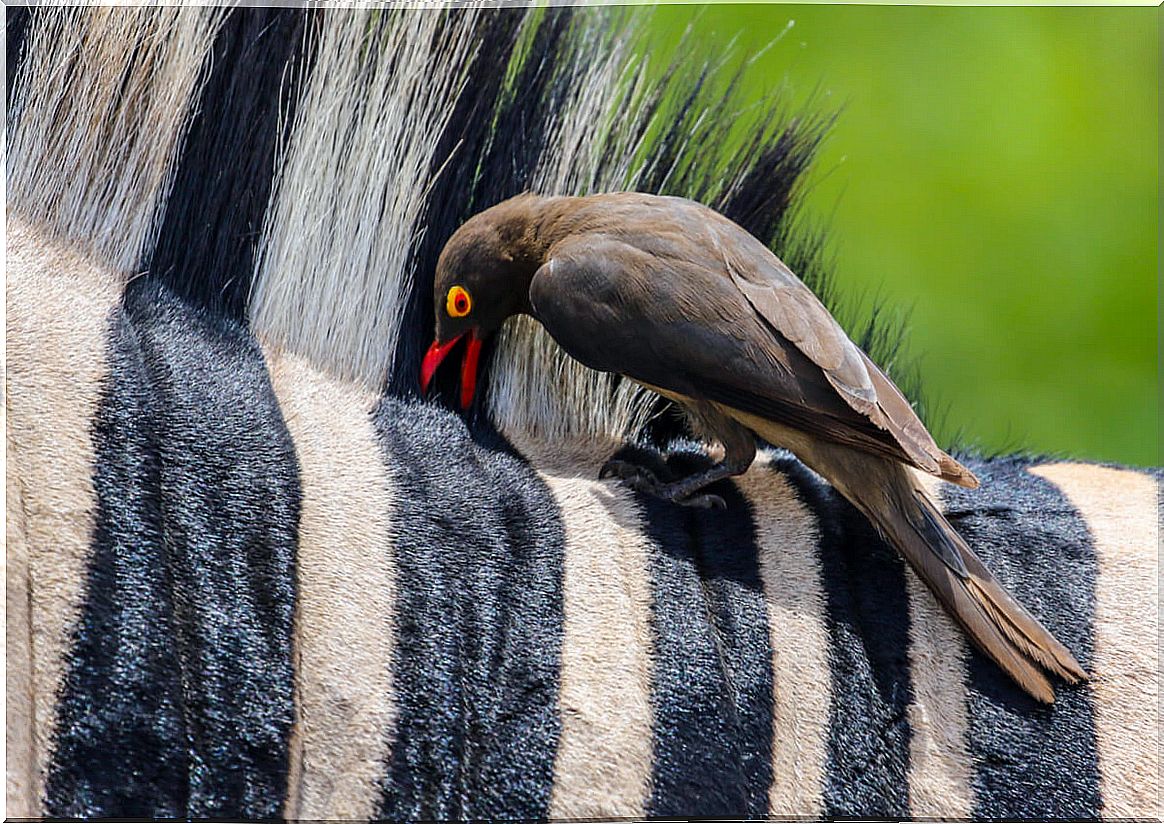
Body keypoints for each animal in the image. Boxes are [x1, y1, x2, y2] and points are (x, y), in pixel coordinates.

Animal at [4, 3, 1159, 819]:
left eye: (454, 304)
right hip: (849, 382)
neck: (564, 223)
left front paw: (652, 468)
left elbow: (721, 454)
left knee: (740, 452)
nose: (442, 366)